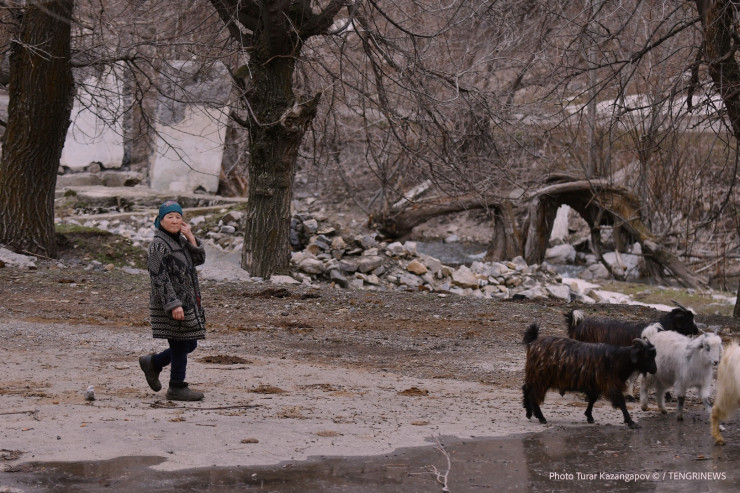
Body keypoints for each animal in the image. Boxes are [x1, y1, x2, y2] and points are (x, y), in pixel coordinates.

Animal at [522, 323, 657, 429]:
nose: (655, 370)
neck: (617, 359)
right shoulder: (610, 383)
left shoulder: (595, 384)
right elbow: (621, 402)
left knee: (526, 390)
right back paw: (541, 417)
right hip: (540, 377)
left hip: (534, 376)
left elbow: (593, 399)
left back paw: (529, 413)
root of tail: (533, 343)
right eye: (646, 355)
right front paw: (630, 422)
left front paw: (589, 416)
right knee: (534, 395)